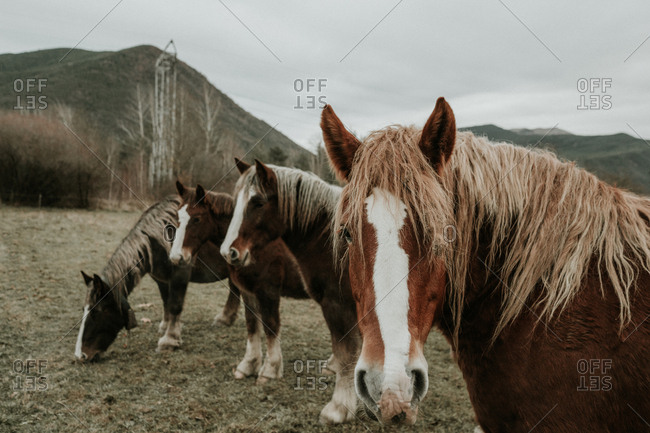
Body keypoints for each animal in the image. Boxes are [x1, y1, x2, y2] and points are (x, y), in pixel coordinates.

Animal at [76, 195, 241, 361]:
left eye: (96, 312)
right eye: (83, 309)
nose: (80, 355)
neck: (160, 240)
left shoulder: (180, 274)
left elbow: (175, 305)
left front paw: (169, 340)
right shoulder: (161, 279)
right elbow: (166, 302)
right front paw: (165, 327)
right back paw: (226, 319)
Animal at [169, 180, 310, 384]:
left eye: (196, 219)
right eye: (178, 217)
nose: (176, 257)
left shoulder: (268, 292)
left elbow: (270, 326)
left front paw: (270, 370)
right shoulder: (248, 291)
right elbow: (252, 324)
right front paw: (248, 365)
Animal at [220, 158, 361, 424]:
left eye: (258, 202)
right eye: (236, 201)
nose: (229, 252)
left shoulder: (336, 304)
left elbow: (346, 351)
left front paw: (339, 409)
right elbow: (253, 326)